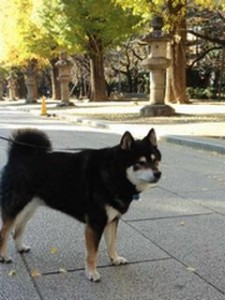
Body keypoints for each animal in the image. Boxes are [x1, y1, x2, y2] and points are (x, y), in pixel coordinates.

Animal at [0, 128, 162, 282]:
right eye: (140, 163)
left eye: (156, 161)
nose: (158, 173)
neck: (113, 174)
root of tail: (19, 155)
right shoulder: (95, 223)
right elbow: (93, 253)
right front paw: (91, 273)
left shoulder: (112, 220)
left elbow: (112, 243)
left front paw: (115, 259)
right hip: (17, 206)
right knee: (5, 231)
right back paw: (3, 256)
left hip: (29, 208)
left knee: (18, 228)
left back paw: (20, 247)